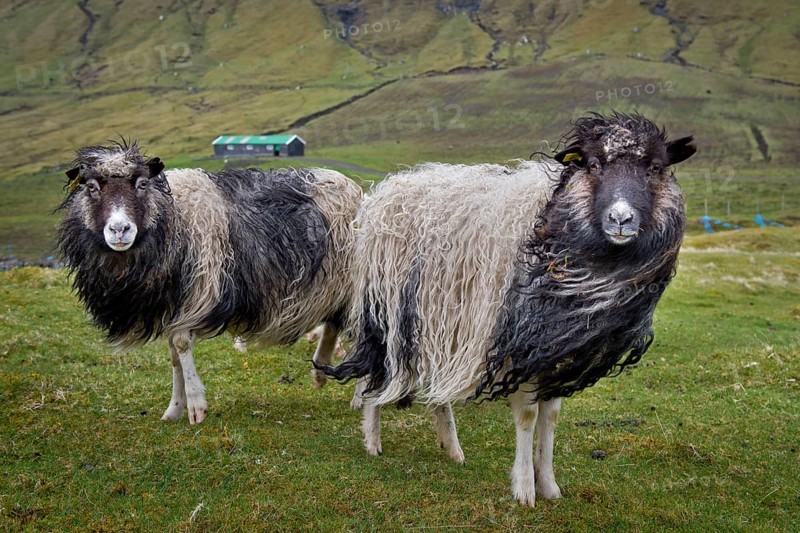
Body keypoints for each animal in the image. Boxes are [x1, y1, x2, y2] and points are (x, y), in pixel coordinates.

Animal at [56, 142, 362, 424]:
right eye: (92, 187)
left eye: (142, 184)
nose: (120, 229)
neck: (173, 217)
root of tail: (355, 190)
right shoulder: (172, 304)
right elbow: (174, 355)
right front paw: (173, 410)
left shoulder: (200, 291)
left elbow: (181, 345)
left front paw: (195, 406)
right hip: (335, 287)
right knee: (333, 324)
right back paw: (320, 371)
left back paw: (359, 398)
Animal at [319, 113, 696, 505]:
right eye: (593, 164)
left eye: (656, 167)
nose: (621, 219)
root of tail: (391, 186)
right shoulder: (519, 345)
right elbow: (528, 416)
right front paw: (525, 489)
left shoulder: (555, 347)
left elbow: (551, 417)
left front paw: (549, 485)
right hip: (388, 308)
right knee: (377, 371)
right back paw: (372, 439)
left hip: (436, 319)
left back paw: (452, 448)